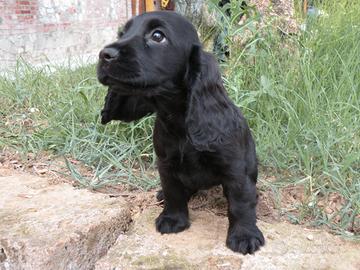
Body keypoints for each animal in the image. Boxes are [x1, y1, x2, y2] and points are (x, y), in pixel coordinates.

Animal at [96, 11, 264, 255]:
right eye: (122, 33)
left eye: (158, 36)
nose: (104, 54)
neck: (178, 120)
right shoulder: (166, 164)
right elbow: (173, 191)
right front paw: (173, 219)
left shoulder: (236, 170)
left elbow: (240, 203)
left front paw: (244, 235)